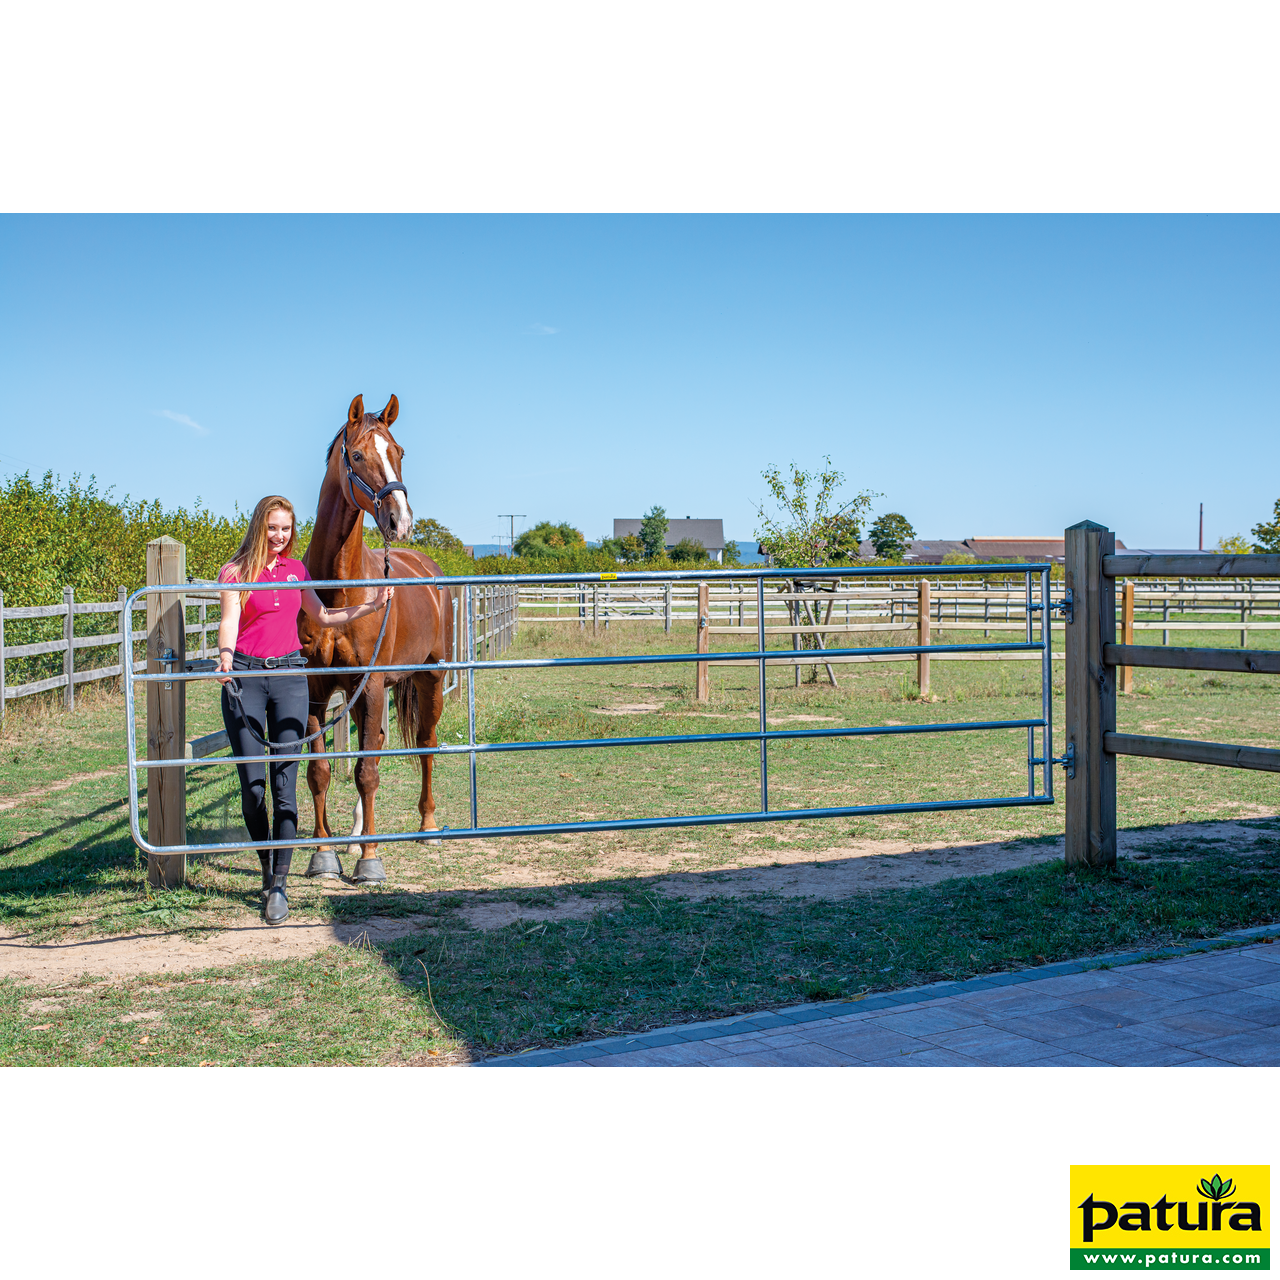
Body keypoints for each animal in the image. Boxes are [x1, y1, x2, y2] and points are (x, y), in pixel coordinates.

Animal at [298, 393, 454, 883]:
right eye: (358, 455)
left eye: (400, 452)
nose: (399, 519)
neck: (340, 592)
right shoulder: (317, 689)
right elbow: (321, 772)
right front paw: (323, 854)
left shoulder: (368, 686)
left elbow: (366, 773)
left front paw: (370, 861)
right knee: (381, 745)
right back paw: (353, 835)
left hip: (429, 679)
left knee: (424, 743)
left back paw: (427, 825)